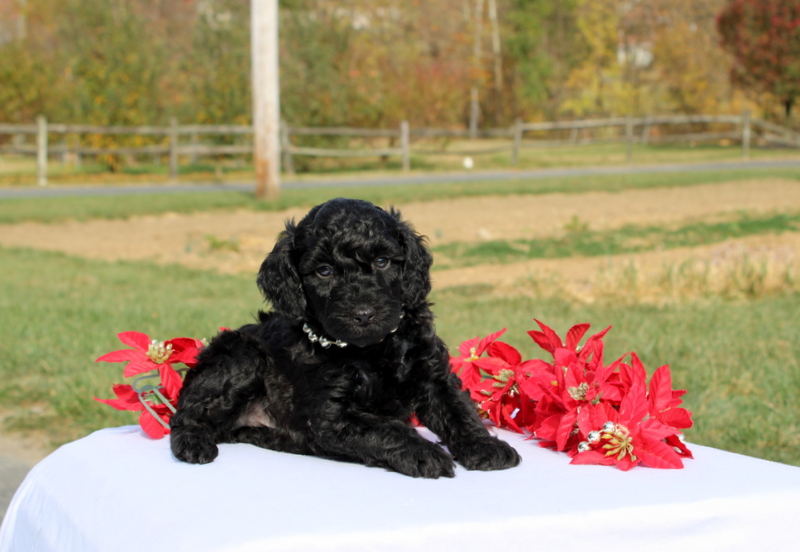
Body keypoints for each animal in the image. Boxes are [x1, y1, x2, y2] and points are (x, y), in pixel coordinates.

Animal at [170, 198, 520, 478]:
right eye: (324, 271)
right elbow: (386, 428)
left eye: (382, 261)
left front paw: (485, 447)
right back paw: (193, 444)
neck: (371, 349)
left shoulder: (433, 374)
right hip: (241, 356)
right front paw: (425, 454)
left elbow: (459, 411)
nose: (363, 314)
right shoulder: (332, 414)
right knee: (186, 413)